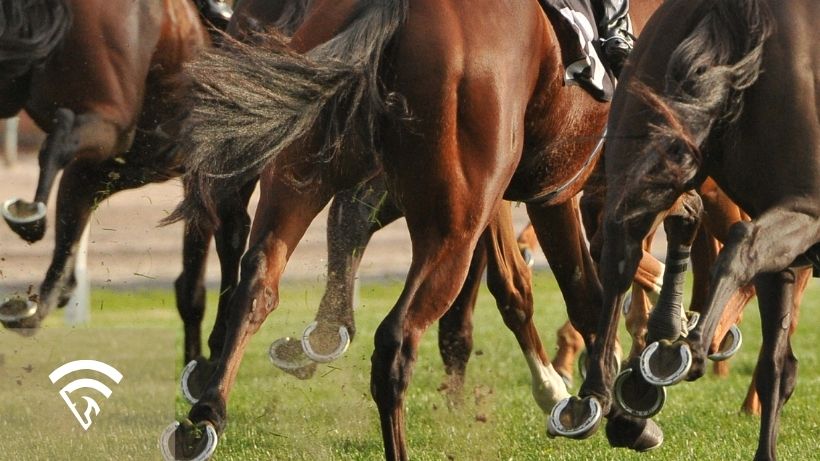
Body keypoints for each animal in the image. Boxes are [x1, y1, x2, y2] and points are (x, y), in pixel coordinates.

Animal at [161, 0, 668, 459]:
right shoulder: (556, 189)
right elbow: (583, 290)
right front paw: (614, 406)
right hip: (452, 227)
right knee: (397, 339)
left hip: (300, 176)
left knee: (259, 282)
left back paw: (205, 416)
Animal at [551, 0, 818, 459]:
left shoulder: (783, 262)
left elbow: (776, 366)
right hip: (805, 205)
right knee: (742, 242)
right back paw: (681, 352)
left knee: (620, 247)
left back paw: (606, 394)